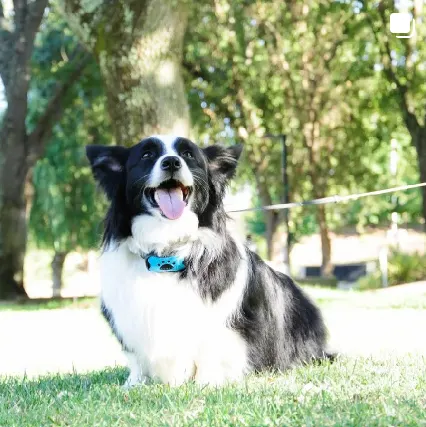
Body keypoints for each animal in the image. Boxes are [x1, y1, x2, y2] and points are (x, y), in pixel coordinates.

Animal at [86, 136, 332, 388]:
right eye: (146, 155)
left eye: (188, 155)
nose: (172, 162)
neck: (167, 251)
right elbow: (136, 358)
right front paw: (134, 384)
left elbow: (210, 350)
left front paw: (208, 383)